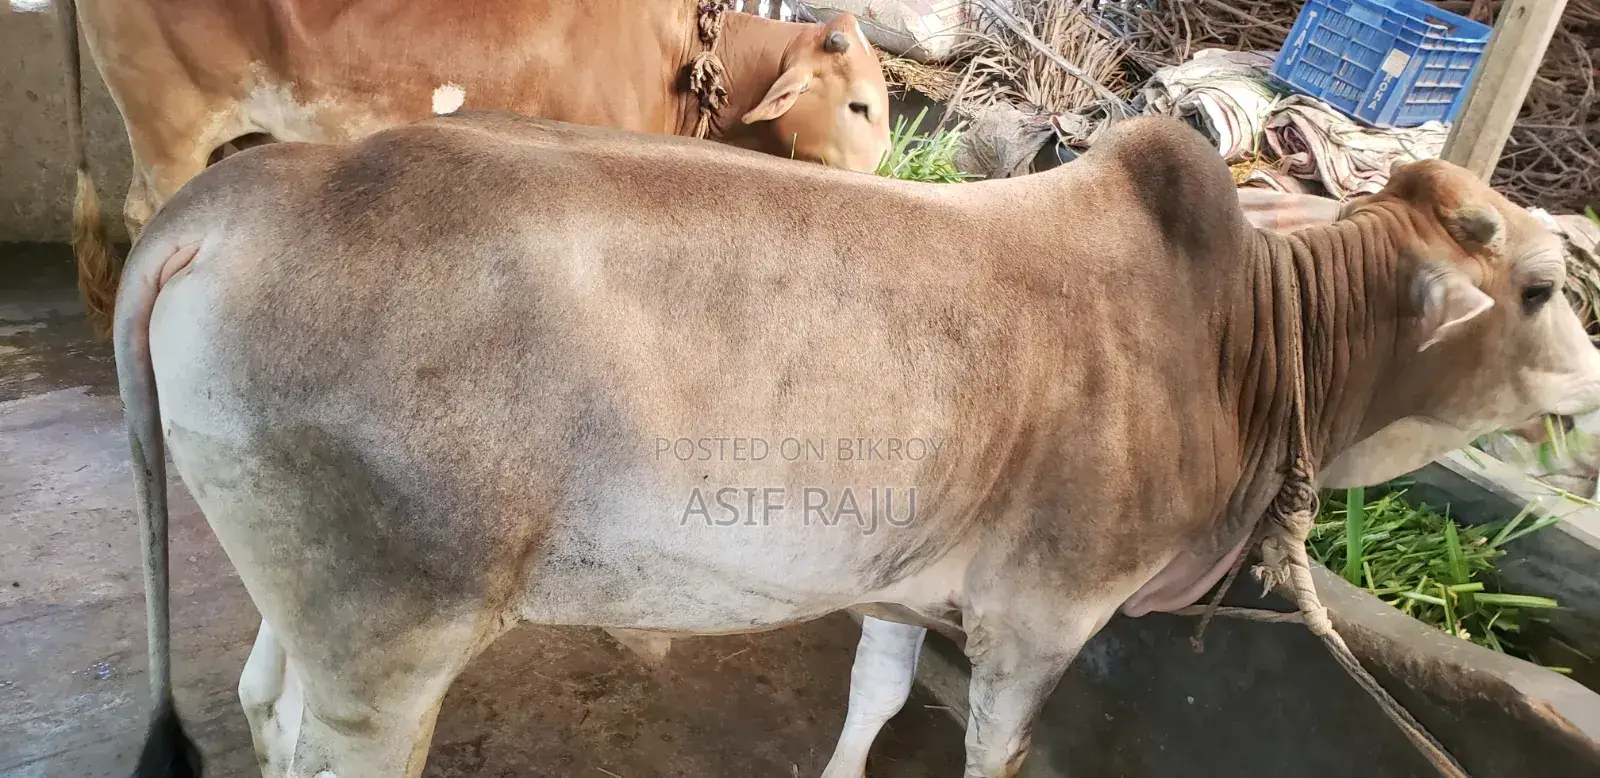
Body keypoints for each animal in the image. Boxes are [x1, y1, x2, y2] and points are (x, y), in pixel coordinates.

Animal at [115, 110, 1600, 777]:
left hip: (312, 606)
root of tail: (238, 193)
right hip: (392, 641)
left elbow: (877, 701)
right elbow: (991, 752)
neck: (1242, 339)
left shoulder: (904, 584)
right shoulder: (1040, 617)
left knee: (259, 696)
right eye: (1538, 285)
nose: (1589, 383)